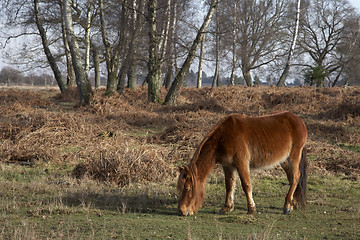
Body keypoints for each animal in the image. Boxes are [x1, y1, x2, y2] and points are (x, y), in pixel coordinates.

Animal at [176, 111, 306, 217]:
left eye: (187, 188)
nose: (181, 211)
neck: (223, 137)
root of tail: (299, 120)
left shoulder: (241, 163)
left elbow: (246, 185)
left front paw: (251, 209)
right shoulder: (228, 166)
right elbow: (229, 186)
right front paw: (226, 208)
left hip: (293, 157)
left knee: (295, 177)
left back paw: (287, 206)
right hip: (284, 161)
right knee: (291, 178)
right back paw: (292, 204)